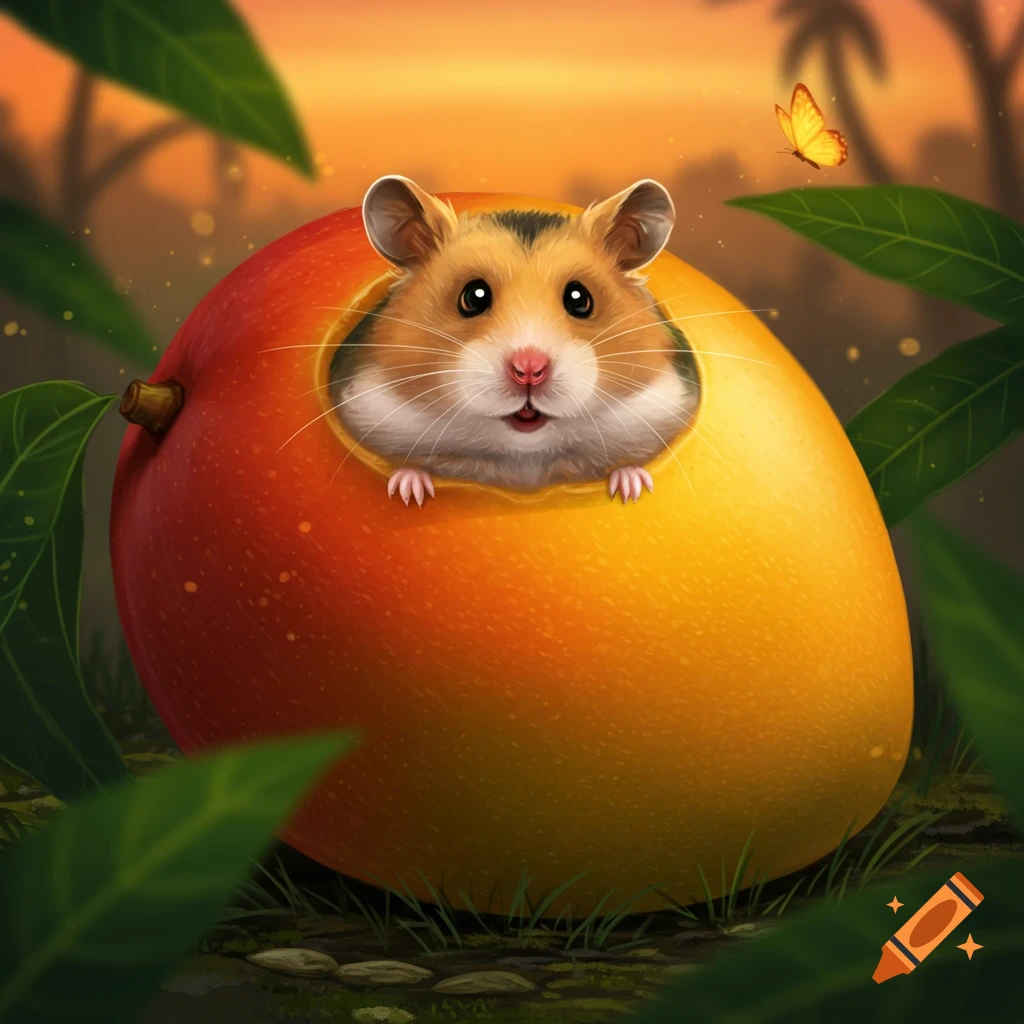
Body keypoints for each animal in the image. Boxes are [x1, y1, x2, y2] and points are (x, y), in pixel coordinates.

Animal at [329, 174, 701, 506]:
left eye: (580, 299)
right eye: (473, 297)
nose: (529, 370)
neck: (524, 454)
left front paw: (633, 486)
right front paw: (409, 491)